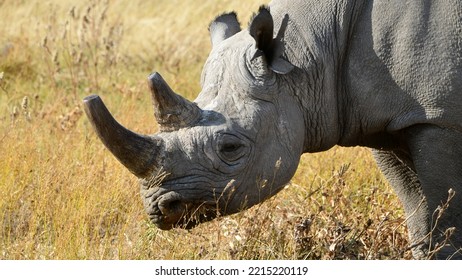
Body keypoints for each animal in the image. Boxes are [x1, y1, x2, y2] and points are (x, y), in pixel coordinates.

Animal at [83, 0, 462, 260]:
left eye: (231, 149)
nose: (158, 209)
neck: (308, 55)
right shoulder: (389, 119)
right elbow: (417, 210)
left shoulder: (439, 119)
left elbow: (446, 217)